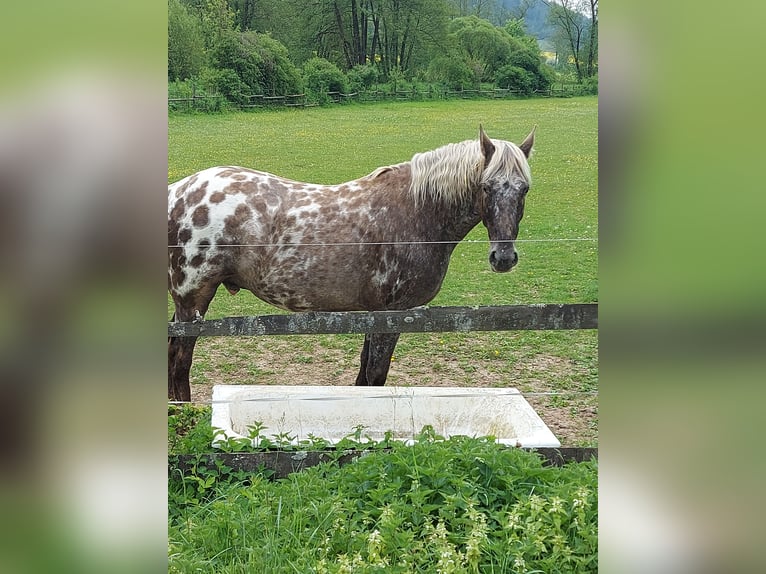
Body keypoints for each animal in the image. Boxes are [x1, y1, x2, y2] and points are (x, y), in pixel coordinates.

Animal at [170, 128, 536, 402]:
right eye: (486, 186)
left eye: (524, 189)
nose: (503, 257)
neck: (416, 212)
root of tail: (178, 190)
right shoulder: (392, 314)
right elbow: (376, 373)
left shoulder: (374, 314)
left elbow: (364, 371)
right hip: (193, 301)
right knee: (179, 360)